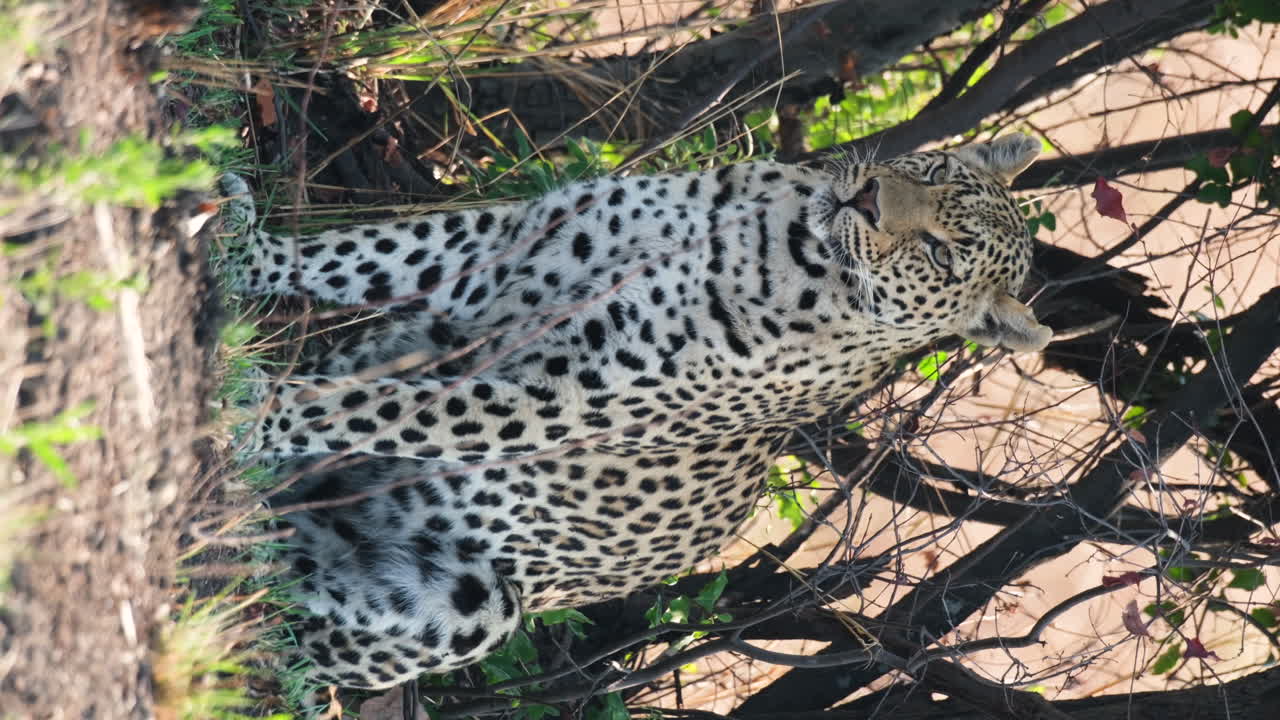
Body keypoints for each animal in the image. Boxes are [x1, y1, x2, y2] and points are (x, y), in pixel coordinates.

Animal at [222, 133, 1053, 691]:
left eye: (942, 254)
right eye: (933, 170)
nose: (867, 196)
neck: (785, 245)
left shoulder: (560, 404)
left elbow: (392, 410)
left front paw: (254, 408)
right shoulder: (508, 240)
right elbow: (364, 253)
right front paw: (242, 251)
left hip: (481, 608)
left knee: (295, 642)